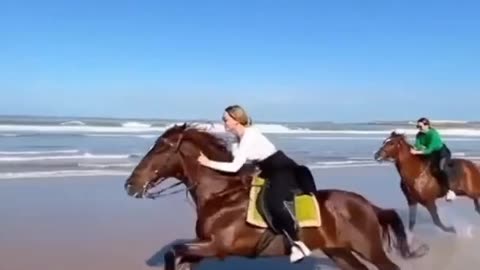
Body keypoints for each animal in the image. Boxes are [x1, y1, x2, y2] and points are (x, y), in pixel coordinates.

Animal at [124, 123, 428, 268]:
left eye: (160, 148)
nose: (129, 184)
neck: (222, 195)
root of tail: (369, 206)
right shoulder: (204, 246)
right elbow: (178, 256)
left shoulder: (217, 246)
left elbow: (173, 252)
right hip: (339, 252)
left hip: (368, 248)